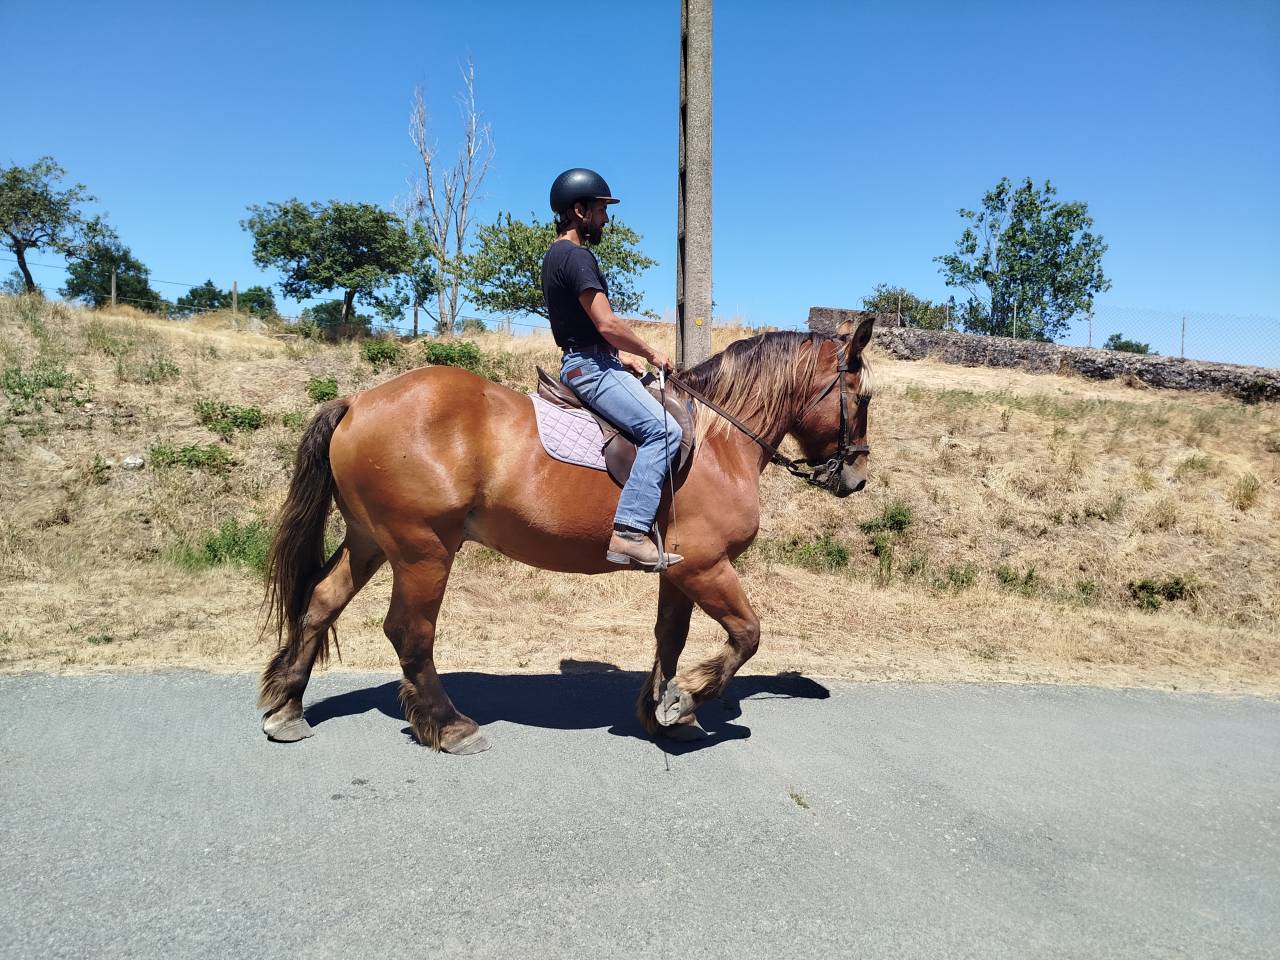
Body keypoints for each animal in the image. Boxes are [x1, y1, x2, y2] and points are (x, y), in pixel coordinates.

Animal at [258, 317, 875, 754]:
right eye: (863, 397)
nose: (857, 477)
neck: (720, 441)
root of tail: (357, 402)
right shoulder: (706, 565)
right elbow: (747, 635)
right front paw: (686, 701)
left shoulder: (679, 570)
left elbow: (669, 638)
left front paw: (661, 712)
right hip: (422, 550)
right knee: (410, 632)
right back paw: (451, 726)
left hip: (370, 540)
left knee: (321, 602)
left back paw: (287, 709)